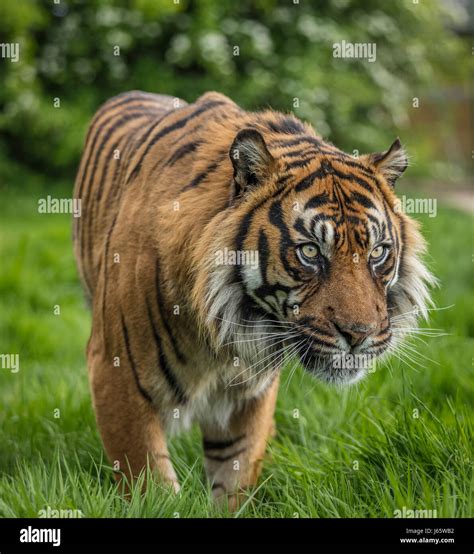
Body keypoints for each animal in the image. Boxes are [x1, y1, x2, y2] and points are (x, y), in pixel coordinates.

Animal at [73, 88, 434, 506]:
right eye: (310, 251)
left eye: (377, 252)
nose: (360, 335)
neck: (216, 335)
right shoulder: (116, 373)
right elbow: (150, 484)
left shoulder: (250, 394)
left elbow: (236, 475)